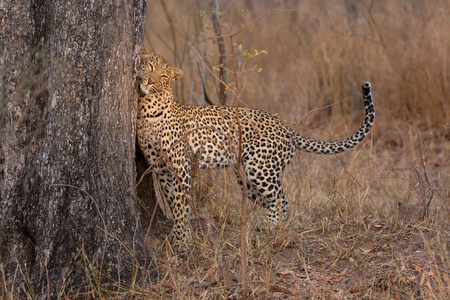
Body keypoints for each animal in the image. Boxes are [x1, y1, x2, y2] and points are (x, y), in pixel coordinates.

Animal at [137, 48, 376, 247]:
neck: (148, 108)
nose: (149, 82)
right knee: (280, 198)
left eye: (164, 76)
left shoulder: (180, 166)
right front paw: (181, 232)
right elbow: (174, 201)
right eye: (150, 67)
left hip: (259, 168)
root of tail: (285, 127)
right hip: (247, 178)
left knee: (279, 197)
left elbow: (180, 204)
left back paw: (270, 226)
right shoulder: (161, 169)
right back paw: (276, 226)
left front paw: (181, 240)